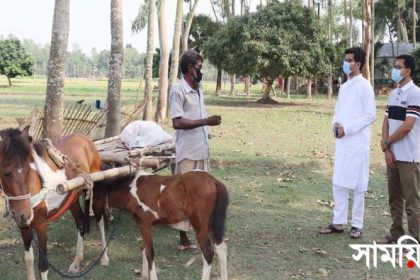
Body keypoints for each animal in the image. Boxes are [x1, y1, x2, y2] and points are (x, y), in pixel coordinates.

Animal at [0, 127, 103, 280]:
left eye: (30, 170)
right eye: (6, 173)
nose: (25, 215)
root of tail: (86, 138)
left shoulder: (42, 226)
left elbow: (43, 265)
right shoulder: (23, 227)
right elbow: (29, 259)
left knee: (101, 219)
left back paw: (104, 258)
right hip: (72, 199)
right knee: (80, 222)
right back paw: (76, 262)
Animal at [92, 171, 230, 280]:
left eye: (92, 198)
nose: (96, 215)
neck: (130, 191)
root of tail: (214, 181)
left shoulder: (145, 223)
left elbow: (149, 253)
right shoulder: (143, 225)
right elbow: (143, 248)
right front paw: (143, 276)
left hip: (200, 225)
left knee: (208, 253)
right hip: (211, 225)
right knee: (221, 248)